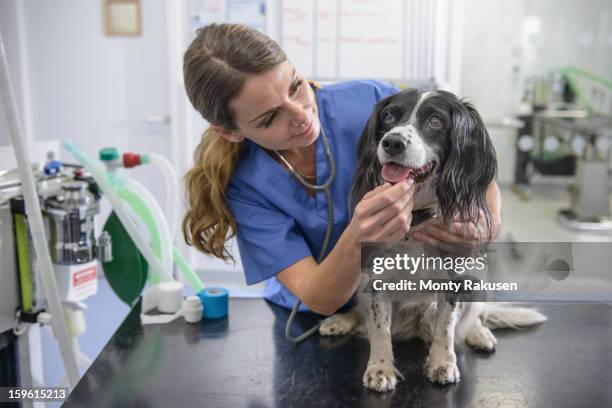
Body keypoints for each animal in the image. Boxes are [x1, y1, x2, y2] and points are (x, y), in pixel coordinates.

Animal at [320, 90, 544, 392]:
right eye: (389, 115)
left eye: (436, 121)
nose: (392, 142)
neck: (416, 219)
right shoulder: (376, 279)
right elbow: (379, 329)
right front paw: (380, 367)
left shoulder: (455, 278)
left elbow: (446, 327)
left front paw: (442, 363)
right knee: (363, 315)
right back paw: (341, 320)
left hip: (477, 278)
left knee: (473, 316)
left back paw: (479, 334)